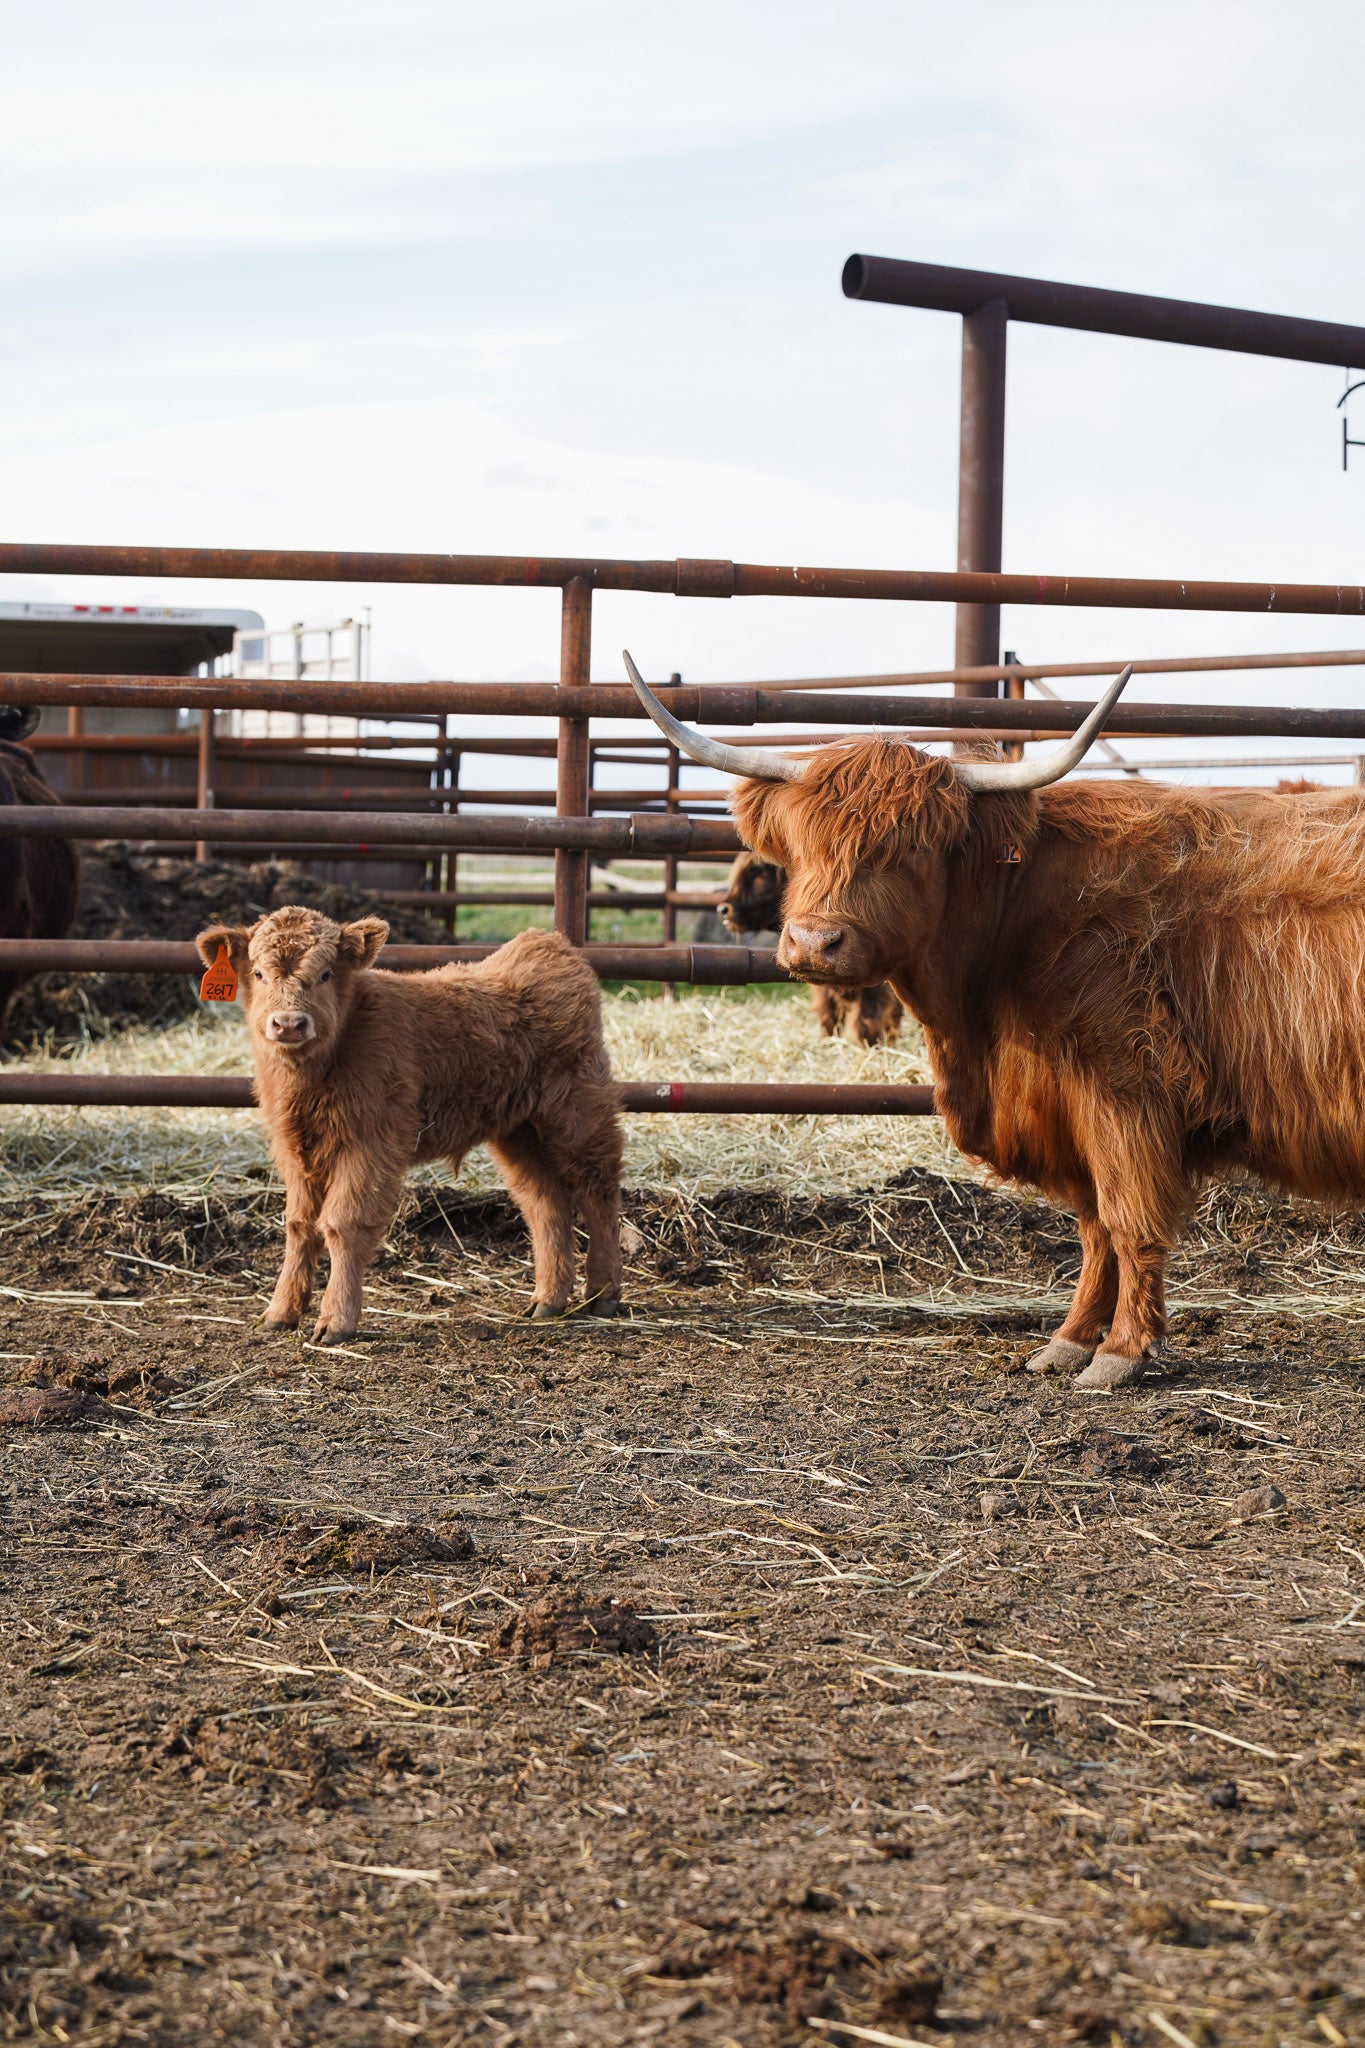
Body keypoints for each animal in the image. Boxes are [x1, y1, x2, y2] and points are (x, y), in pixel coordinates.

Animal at [194, 910, 623, 1342]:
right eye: (259, 973)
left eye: (326, 974)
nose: (288, 1023)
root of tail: (546, 943)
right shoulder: (294, 1150)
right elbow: (300, 1225)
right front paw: (280, 1312)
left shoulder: (369, 1145)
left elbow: (343, 1224)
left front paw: (336, 1321)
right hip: (518, 1131)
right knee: (545, 1203)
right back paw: (548, 1300)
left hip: (579, 1115)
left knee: (598, 1193)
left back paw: (603, 1294)